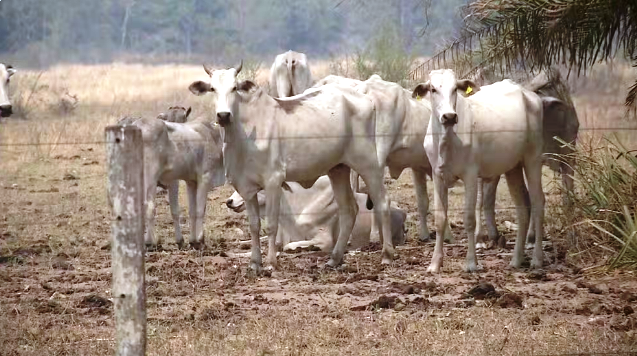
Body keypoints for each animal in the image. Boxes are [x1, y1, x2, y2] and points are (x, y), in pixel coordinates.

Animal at [117, 110, 226, 249]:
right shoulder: (205, 177)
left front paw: (192, 240)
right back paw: (151, 241)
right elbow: (200, 209)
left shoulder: (191, 182)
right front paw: (200, 240)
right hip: (149, 177)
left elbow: (192, 211)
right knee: (149, 206)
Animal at [414, 69, 544, 272]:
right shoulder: (437, 175)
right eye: (433, 89)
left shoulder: (470, 175)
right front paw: (435, 263)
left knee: (539, 202)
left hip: (533, 159)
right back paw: (516, 260)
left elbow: (469, 219)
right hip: (513, 167)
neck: (447, 141)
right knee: (523, 207)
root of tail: (529, 94)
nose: (449, 116)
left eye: (455, 89)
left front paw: (471, 263)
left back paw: (537, 259)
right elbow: (440, 218)